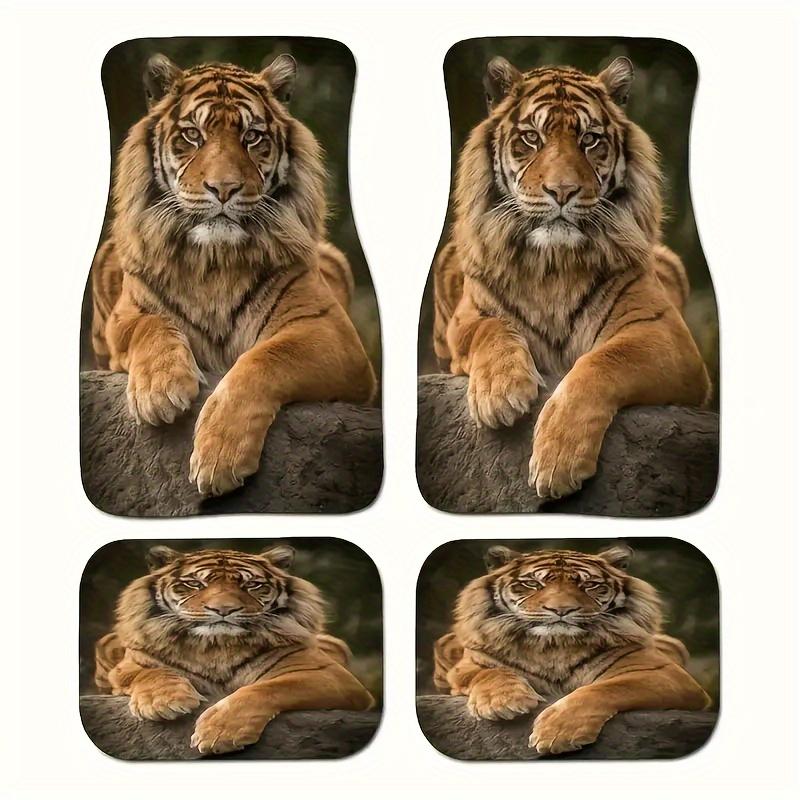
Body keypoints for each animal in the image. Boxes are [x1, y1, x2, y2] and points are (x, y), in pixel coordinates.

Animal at [90, 53, 376, 497]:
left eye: (252, 137)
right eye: (192, 135)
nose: (223, 188)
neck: (214, 262)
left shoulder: (333, 334)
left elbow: (265, 358)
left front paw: (218, 458)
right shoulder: (124, 316)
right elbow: (151, 326)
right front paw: (160, 390)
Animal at [94, 544, 374, 755]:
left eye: (252, 585)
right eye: (195, 584)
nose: (223, 609)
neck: (216, 645)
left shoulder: (332, 675)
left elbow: (269, 688)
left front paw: (220, 733)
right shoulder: (130, 664)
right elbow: (151, 673)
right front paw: (163, 702)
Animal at [432, 55, 710, 500]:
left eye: (590, 140)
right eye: (531, 138)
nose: (562, 191)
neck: (553, 266)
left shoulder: (667, 336)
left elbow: (603, 361)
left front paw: (557, 462)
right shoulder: (466, 320)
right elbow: (491, 329)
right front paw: (499, 394)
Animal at [433, 544, 710, 755]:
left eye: (589, 585)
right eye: (532, 584)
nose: (561, 609)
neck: (554, 646)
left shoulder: (666, 673)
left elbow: (606, 688)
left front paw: (558, 733)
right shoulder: (470, 665)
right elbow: (490, 673)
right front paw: (502, 703)